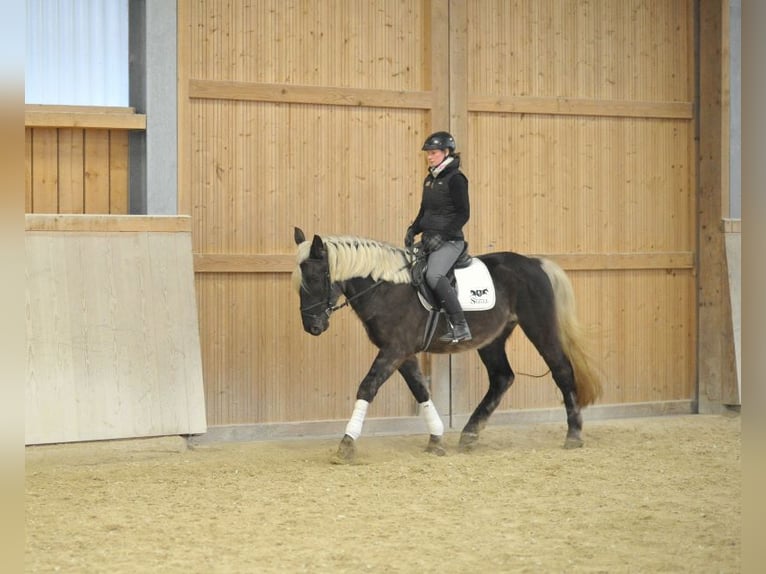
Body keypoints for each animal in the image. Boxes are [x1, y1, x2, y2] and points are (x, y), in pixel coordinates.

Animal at [292, 227, 604, 466]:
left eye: (316, 278)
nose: (312, 327)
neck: (386, 288)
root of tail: (535, 264)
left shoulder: (394, 350)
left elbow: (367, 387)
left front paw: (346, 444)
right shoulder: (401, 352)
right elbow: (420, 390)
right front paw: (436, 439)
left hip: (539, 327)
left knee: (561, 370)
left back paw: (573, 435)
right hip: (492, 339)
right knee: (502, 377)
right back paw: (469, 434)